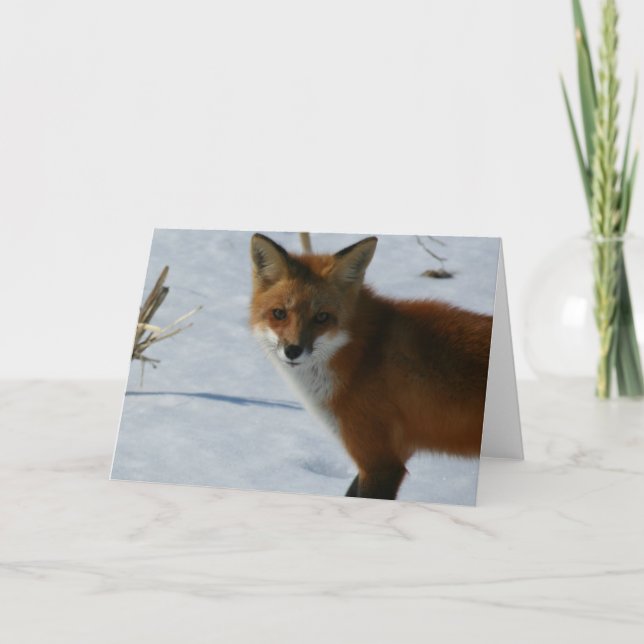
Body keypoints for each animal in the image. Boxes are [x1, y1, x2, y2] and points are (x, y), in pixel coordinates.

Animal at [250, 233, 493, 501]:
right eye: (279, 313)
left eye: (322, 317)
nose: (293, 351)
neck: (362, 354)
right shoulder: (394, 452)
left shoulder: (379, 461)